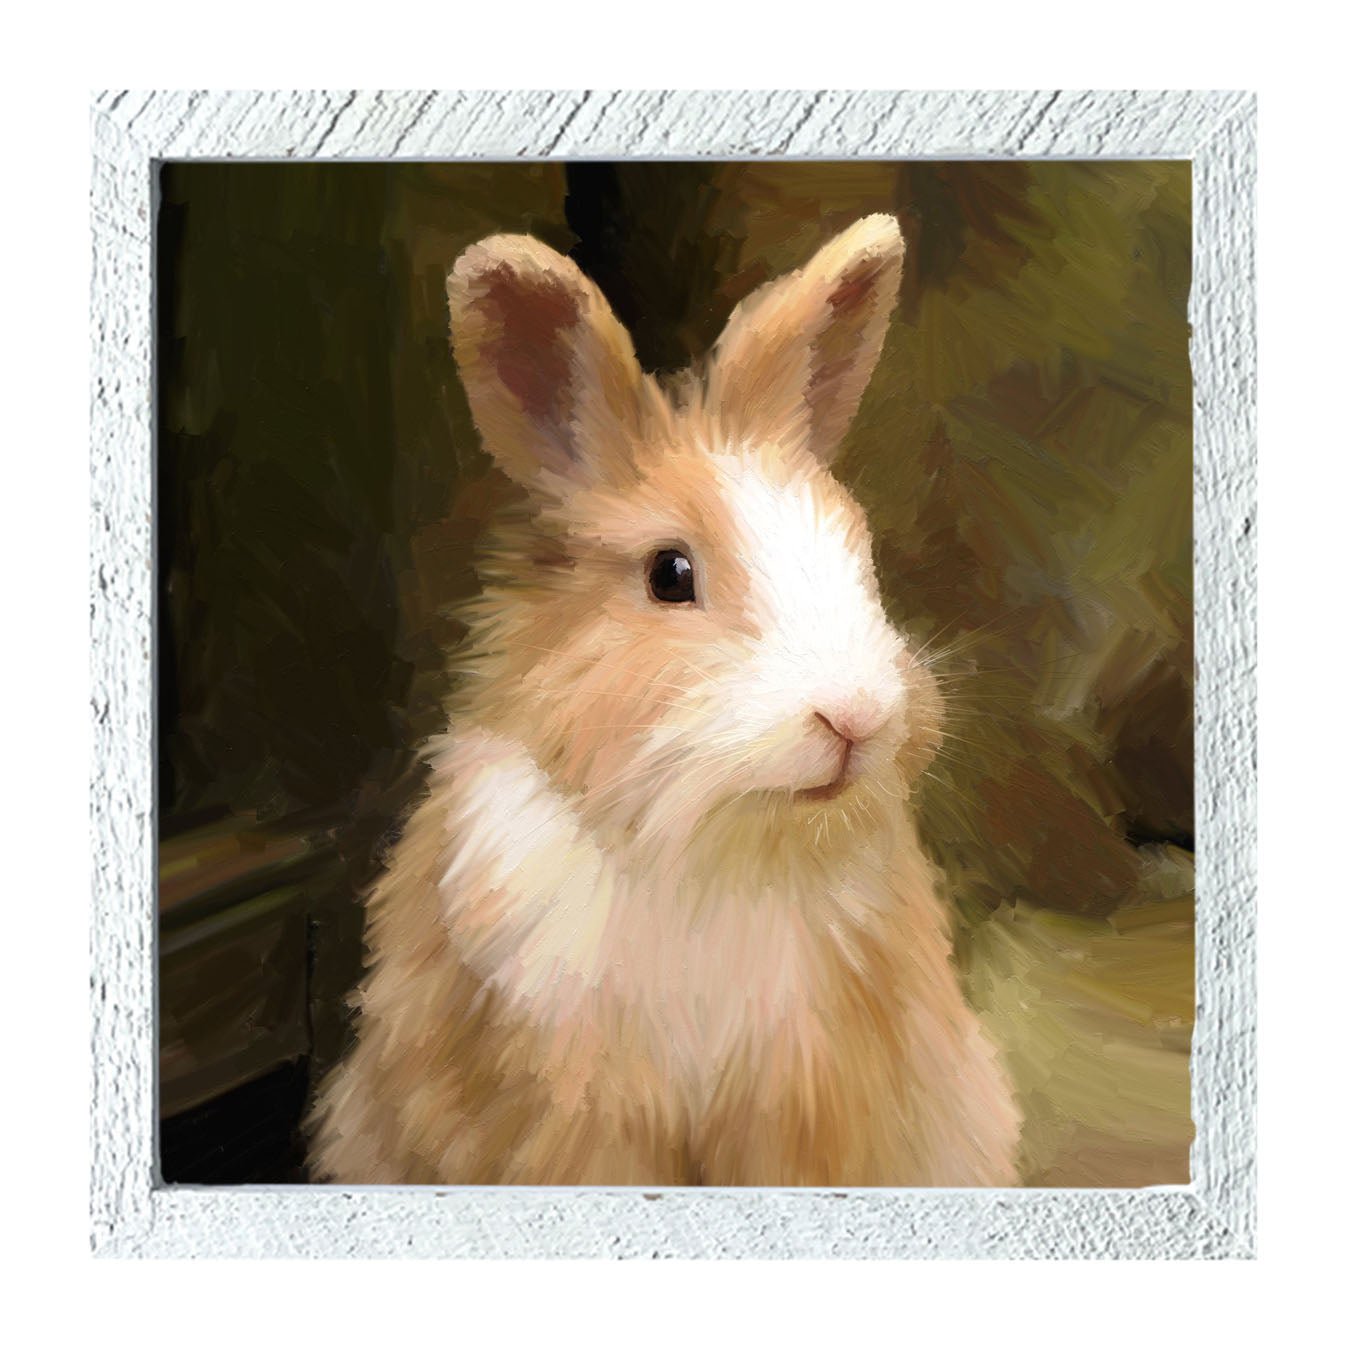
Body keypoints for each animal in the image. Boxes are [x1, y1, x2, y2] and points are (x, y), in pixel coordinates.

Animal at [308, 214, 1022, 1186]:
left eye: (858, 551)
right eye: (669, 575)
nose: (857, 716)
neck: (708, 848)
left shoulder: (807, 1098)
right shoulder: (575, 1105)